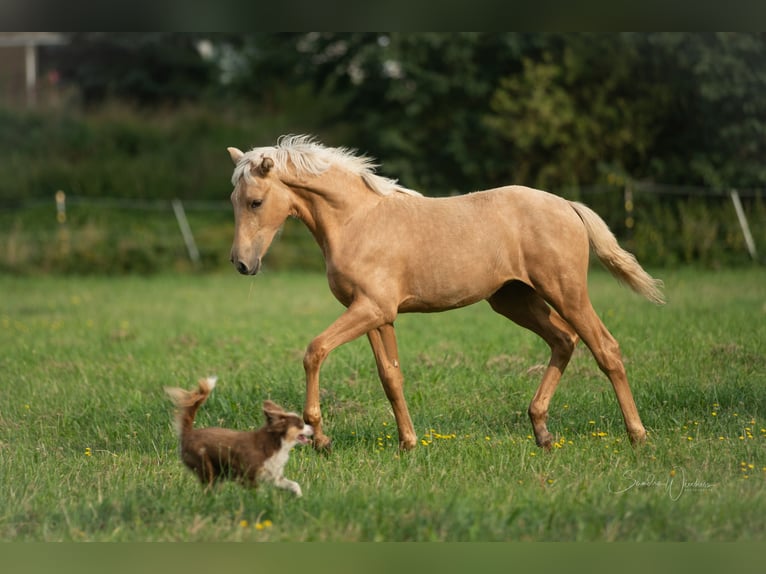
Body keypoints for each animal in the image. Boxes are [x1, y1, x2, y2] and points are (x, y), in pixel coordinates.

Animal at [166, 380, 316, 498]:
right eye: (301, 425)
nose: (314, 427)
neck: (277, 444)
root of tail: (188, 433)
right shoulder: (247, 476)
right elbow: (257, 492)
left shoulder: (274, 477)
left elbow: (293, 484)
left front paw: (299, 496)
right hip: (205, 465)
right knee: (208, 486)